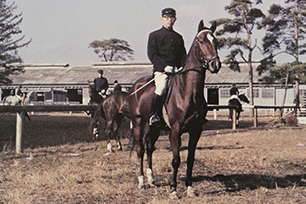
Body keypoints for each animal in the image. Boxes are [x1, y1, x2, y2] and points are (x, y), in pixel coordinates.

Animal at [120, 20, 221, 198]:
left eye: (215, 41)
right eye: (201, 41)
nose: (215, 65)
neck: (188, 92)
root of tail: (134, 87)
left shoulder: (196, 130)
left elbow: (190, 159)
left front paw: (189, 188)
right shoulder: (176, 130)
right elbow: (176, 160)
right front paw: (173, 189)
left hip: (153, 127)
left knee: (149, 149)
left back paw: (151, 179)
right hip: (138, 124)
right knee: (140, 150)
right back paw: (142, 181)